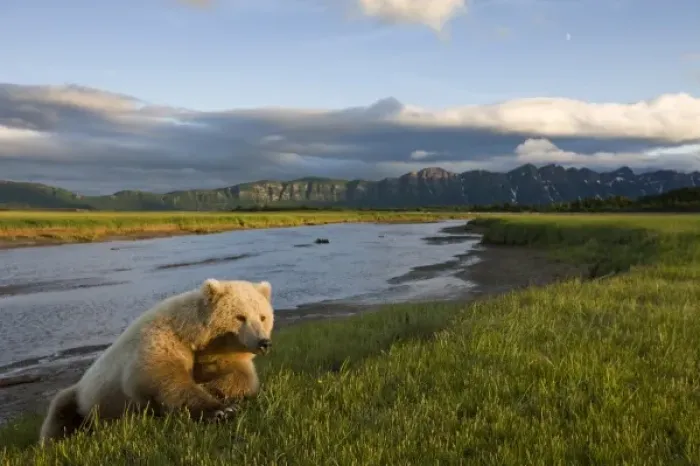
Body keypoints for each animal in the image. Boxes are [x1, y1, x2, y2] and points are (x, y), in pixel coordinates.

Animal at [38, 278, 275, 444]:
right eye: (240, 317)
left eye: (263, 316)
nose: (263, 342)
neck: (191, 335)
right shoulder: (160, 341)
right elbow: (165, 379)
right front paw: (221, 410)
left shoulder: (215, 354)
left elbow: (240, 376)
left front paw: (215, 389)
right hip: (83, 396)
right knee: (59, 413)